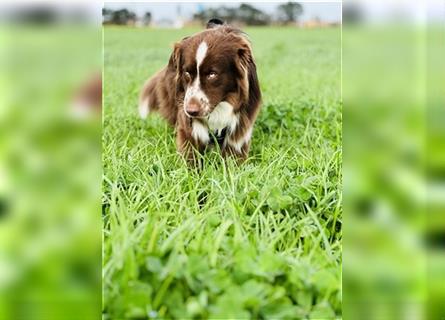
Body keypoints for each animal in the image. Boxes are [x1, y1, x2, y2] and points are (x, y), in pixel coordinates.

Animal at [139, 18, 260, 162]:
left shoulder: (241, 122)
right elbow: (190, 147)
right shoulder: (187, 121)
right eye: (187, 73)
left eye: (212, 74)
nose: (191, 111)